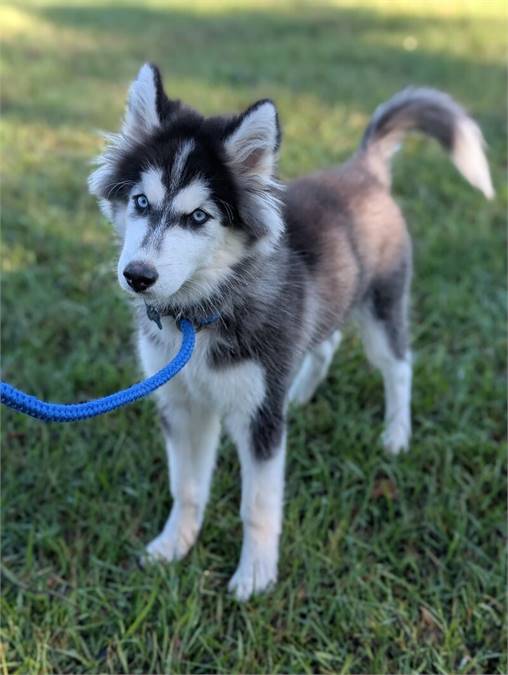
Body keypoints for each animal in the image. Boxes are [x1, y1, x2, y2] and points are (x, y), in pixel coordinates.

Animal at [89, 64, 494, 604]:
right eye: (140, 201)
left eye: (198, 217)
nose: (137, 276)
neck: (198, 318)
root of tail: (362, 170)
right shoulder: (181, 403)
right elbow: (187, 487)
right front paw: (174, 545)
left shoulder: (258, 416)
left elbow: (257, 506)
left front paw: (256, 576)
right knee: (326, 343)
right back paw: (300, 395)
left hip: (382, 308)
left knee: (399, 367)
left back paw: (395, 434)